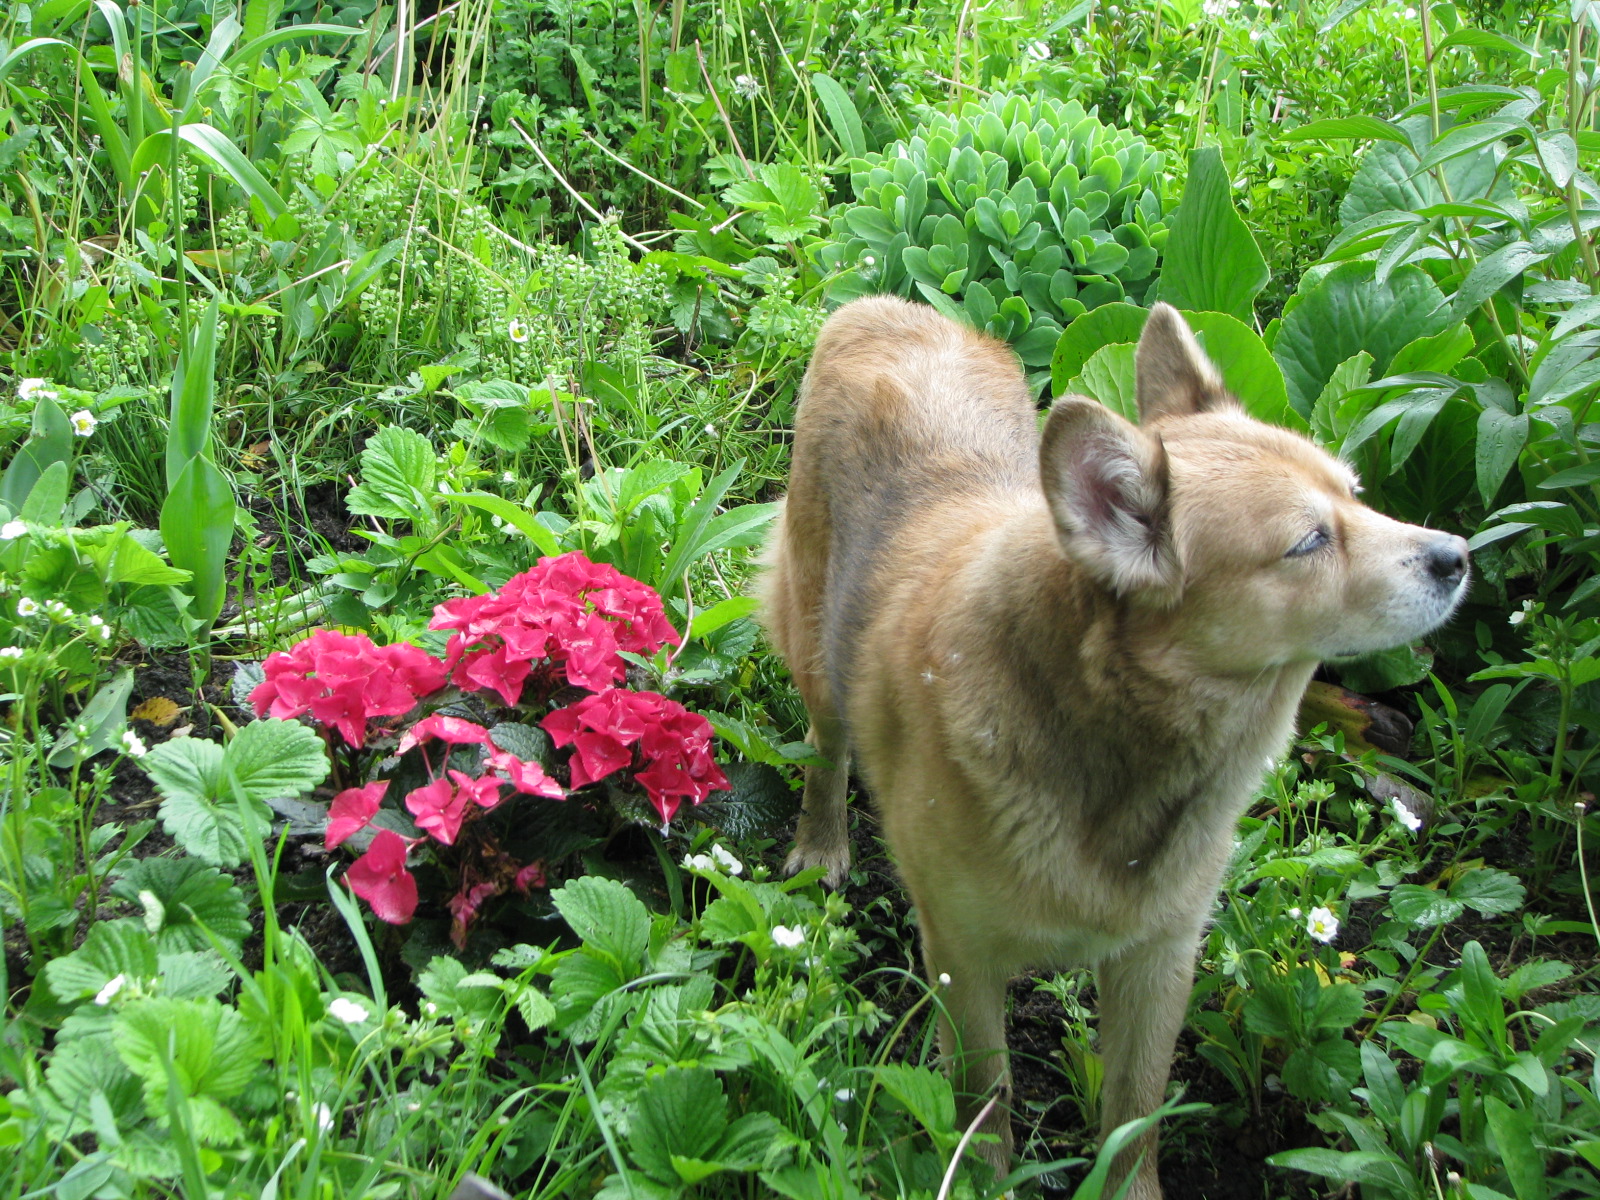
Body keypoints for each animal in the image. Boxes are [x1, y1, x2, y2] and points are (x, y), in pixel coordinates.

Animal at [755, 296, 1465, 1196]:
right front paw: (985, 1179)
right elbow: (985, 1106)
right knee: (827, 747)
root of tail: (890, 307)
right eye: (1308, 542)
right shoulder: (963, 961)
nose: (1459, 556)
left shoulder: (1158, 963)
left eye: (1358, 498)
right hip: (815, 643)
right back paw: (821, 845)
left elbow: (1135, 1112)